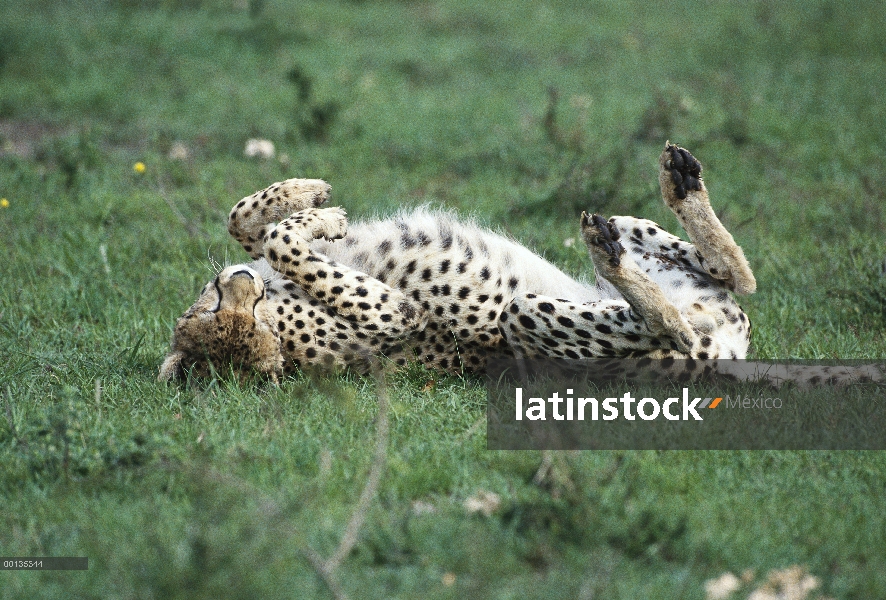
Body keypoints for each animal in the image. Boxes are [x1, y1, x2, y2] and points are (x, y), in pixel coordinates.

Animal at [158, 146, 880, 390]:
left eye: (222, 303)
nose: (236, 284)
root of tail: (729, 355)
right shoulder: (393, 315)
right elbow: (280, 240)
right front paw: (317, 214)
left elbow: (247, 220)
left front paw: (311, 197)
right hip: (529, 320)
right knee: (673, 318)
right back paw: (629, 271)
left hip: (652, 245)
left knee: (732, 271)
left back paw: (674, 188)